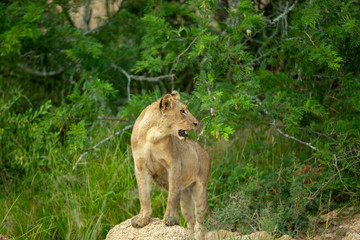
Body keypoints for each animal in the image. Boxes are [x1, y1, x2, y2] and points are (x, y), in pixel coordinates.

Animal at [130, 90, 210, 240]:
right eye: (182, 111)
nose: (196, 123)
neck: (151, 137)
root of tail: (205, 151)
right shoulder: (140, 167)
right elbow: (143, 196)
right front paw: (142, 220)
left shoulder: (174, 164)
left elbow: (172, 196)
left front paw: (171, 219)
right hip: (185, 197)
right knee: (191, 222)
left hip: (200, 190)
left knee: (200, 224)